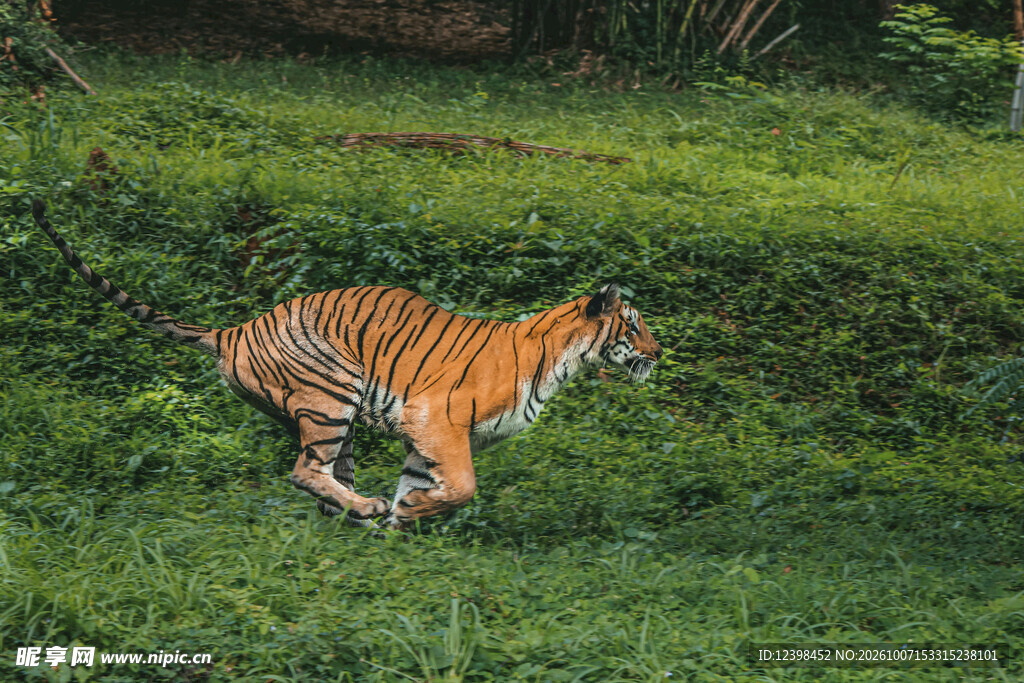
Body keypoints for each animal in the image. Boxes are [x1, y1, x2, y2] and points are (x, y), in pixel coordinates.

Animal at [31, 200, 663, 529]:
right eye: (633, 325)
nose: (659, 354)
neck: (560, 359)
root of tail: (234, 328)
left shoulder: (424, 438)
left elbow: (424, 483)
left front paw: (403, 520)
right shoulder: (437, 420)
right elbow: (462, 487)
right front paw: (405, 513)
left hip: (338, 419)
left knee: (326, 480)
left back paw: (359, 516)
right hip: (330, 398)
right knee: (305, 472)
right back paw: (366, 509)